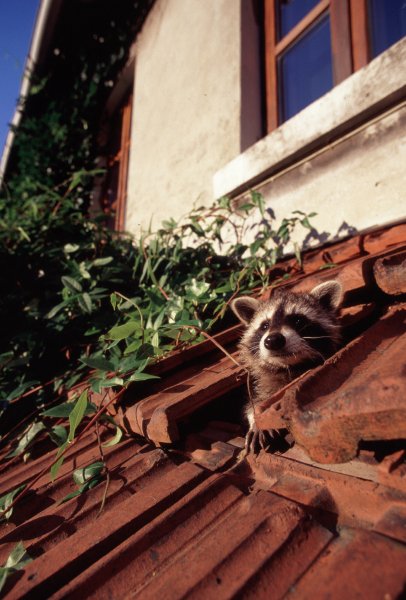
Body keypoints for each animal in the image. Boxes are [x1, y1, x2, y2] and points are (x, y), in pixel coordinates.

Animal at [232, 280, 342, 450]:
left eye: (298, 320)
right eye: (265, 325)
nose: (273, 340)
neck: (289, 367)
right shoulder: (265, 384)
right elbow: (255, 403)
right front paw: (256, 422)